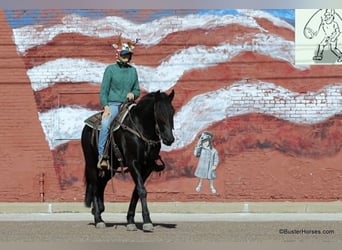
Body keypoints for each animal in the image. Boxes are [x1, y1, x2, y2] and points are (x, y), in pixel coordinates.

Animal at [81, 89, 175, 231]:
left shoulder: (147, 167)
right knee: (95, 184)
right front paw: (147, 221)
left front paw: (130, 220)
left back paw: (100, 211)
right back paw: (98, 219)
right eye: (159, 112)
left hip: (111, 167)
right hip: (91, 162)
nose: (169, 139)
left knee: (101, 183)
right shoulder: (133, 163)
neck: (141, 128)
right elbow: (142, 190)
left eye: (172, 111)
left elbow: (137, 191)